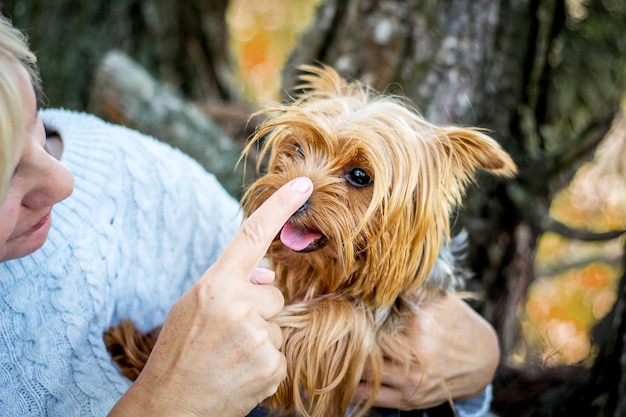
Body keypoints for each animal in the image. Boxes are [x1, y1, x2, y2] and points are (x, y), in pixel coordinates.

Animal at [102, 63, 516, 414]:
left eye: (360, 176)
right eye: (298, 149)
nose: (293, 191)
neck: (330, 274)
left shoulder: (374, 323)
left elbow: (318, 325)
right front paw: (147, 347)